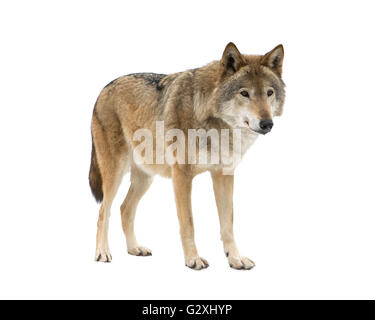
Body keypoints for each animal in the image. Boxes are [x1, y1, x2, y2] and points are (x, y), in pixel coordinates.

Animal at [89, 41, 286, 268]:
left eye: (269, 92)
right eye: (244, 93)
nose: (267, 123)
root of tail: (103, 89)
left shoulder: (224, 174)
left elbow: (228, 224)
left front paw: (235, 259)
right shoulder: (182, 176)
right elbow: (188, 223)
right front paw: (193, 259)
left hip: (145, 178)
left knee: (125, 209)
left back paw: (135, 248)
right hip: (115, 173)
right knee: (103, 211)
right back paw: (102, 252)